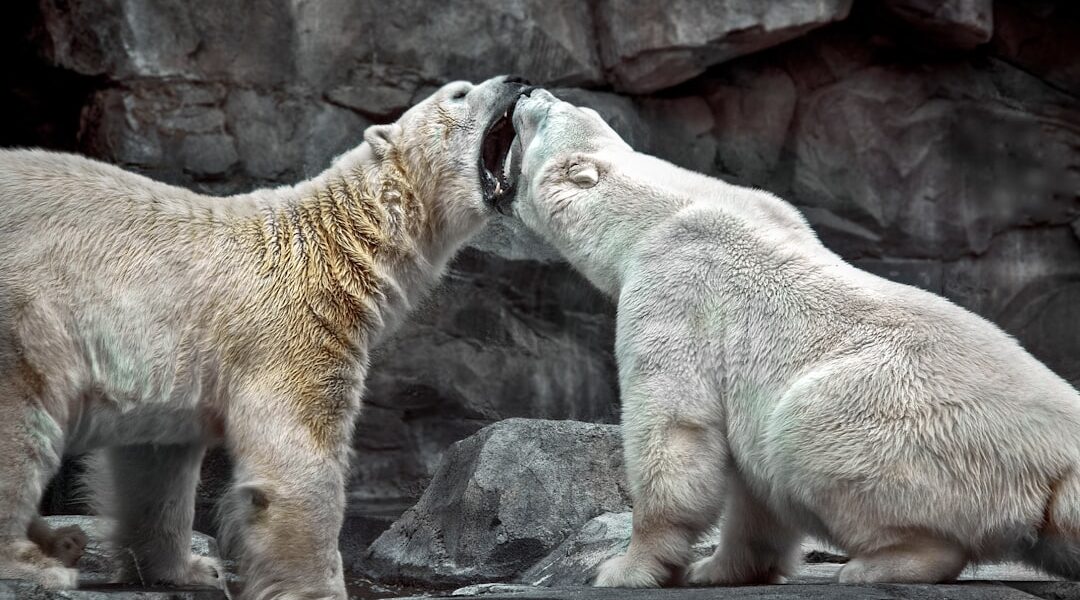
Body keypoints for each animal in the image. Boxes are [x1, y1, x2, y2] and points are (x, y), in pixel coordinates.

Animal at [0, 75, 530, 599]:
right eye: (459, 92)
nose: (517, 80)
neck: (335, 249)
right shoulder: (293, 332)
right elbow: (299, 461)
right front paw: (318, 587)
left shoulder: (172, 358)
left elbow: (156, 460)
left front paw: (189, 568)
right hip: (26, 311)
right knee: (23, 415)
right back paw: (36, 561)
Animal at [499, 89, 1080, 587]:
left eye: (548, 114)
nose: (526, 92)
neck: (665, 211)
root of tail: (1060, 457)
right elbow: (752, 487)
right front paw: (719, 568)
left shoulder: (673, 285)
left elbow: (674, 422)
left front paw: (626, 568)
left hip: (910, 421)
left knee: (805, 429)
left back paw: (876, 565)